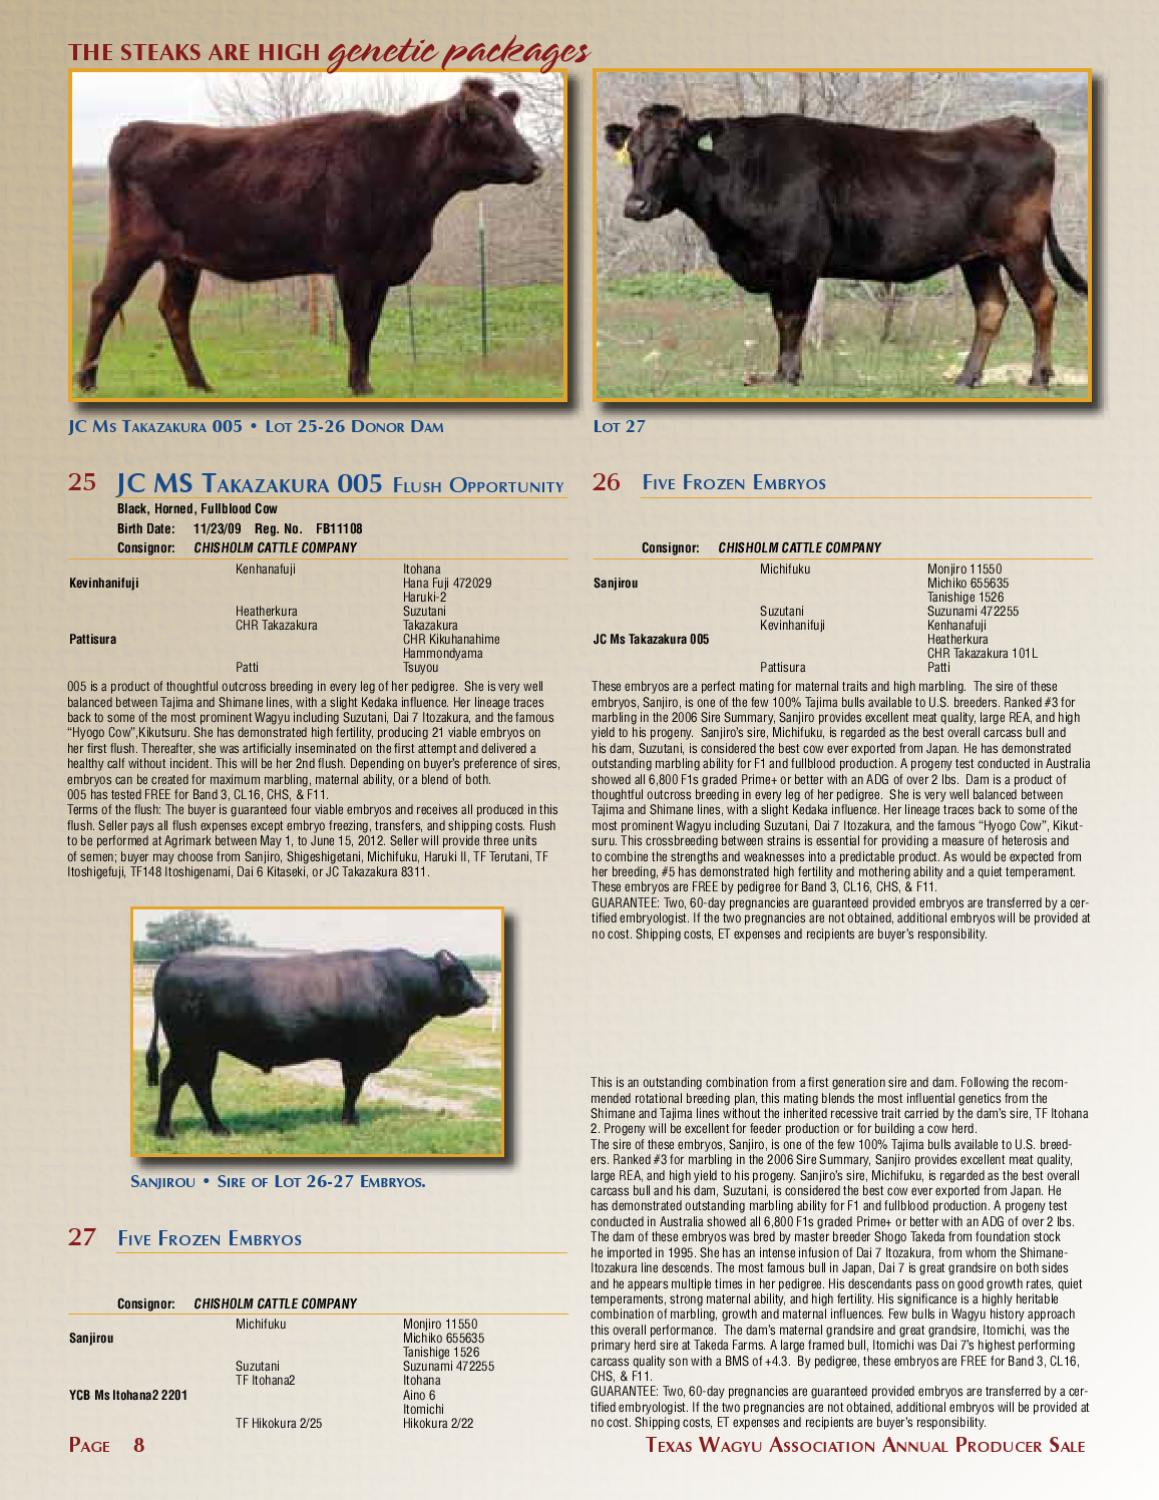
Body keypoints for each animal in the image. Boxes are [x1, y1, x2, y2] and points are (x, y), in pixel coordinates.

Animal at [77, 78, 542, 396]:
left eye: (509, 117)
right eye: (486, 120)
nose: (536, 164)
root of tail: (136, 127)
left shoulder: (383, 268)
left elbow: (371, 327)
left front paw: (365, 382)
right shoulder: (352, 263)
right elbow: (356, 326)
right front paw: (358, 385)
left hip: (183, 259)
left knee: (173, 310)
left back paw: (199, 383)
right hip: (131, 243)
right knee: (104, 299)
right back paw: (87, 378)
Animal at [145, 947, 489, 1137]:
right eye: (463, 975)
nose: (485, 995)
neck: (397, 985)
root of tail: (175, 961)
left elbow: (352, 1088)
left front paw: (351, 1118)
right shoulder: (357, 1055)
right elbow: (353, 1088)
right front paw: (349, 1120)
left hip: (205, 1050)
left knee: (199, 1084)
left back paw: (218, 1128)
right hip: (191, 1047)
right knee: (173, 1080)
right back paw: (166, 1131)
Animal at [604, 106, 1088, 390]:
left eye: (673, 149)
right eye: (633, 151)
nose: (636, 204)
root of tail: (1016, 126)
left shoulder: (798, 260)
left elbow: (791, 318)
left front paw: (786, 375)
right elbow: (781, 318)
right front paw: (782, 372)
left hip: (1021, 245)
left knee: (1042, 299)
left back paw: (1039, 377)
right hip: (979, 255)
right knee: (991, 307)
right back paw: (967, 378)